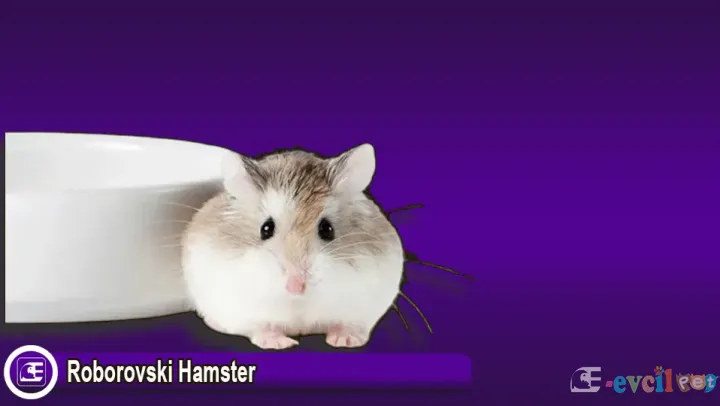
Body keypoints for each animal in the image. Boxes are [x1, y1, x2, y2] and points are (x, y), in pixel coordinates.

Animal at [181, 144, 405, 350]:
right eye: (266, 228)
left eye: (327, 229)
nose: (296, 286)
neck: (298, 302)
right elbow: (260, 327)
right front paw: (281, 344)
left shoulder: (365, 308)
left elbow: (350, 324)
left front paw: (344, 340)